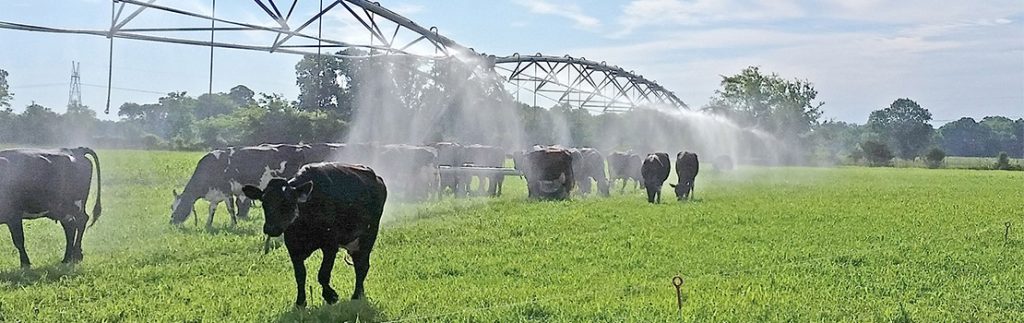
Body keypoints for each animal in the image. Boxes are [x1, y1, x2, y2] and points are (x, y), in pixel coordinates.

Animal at [240, 163, 387, 307]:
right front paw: (300, 302)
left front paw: (331, 296)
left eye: (288, 202)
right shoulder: (293, 248)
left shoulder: (330, 245)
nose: (271, 228)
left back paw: (357, 295)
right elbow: (300, 275)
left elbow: (323, 274)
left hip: (369, 234)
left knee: (362, 266)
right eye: (264, 202)